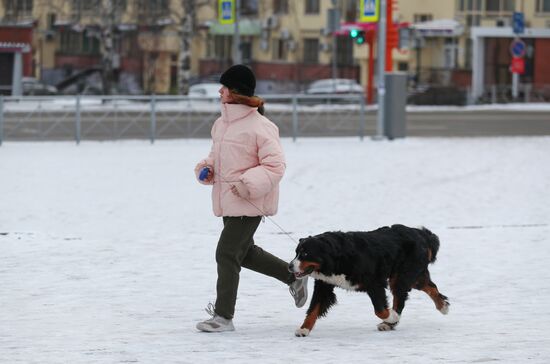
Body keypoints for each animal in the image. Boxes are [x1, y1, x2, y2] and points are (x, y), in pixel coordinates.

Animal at [286, 225, 450, 338]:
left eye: (305, 254)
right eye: (296, 253)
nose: (289, 266)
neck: (337, 259)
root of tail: (420, 234)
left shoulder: (374, 283)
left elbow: (380, 310)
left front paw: (392, 317)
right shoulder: (324, 285)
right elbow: (313, 308)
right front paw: (304, 329)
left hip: (402, 275)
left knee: (401, 300)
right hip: (410, 276)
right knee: (430, 286)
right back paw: (442, 305)